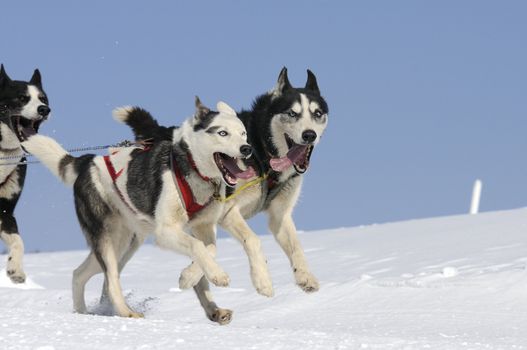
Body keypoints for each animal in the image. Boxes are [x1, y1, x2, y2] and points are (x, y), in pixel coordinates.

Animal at [21, 97, 256, 322]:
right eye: (223, 133)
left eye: (243, 133)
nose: (247, 149)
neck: (192, 168)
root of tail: (88, 162)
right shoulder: (166, 231)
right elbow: (198, 247)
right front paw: (216, 275)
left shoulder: (203, 226)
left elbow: (210, 249)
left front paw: (189, 276)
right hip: (107, 242)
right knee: (111, 279)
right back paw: (126, 312)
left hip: (124, 244)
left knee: (80, 274)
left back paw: (83, 312)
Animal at [117, 69, 328, 322]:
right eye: (292, 113)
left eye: (317, 114)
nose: (309, 135)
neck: (262, 151)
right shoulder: (228, 212)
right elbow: (253, 241)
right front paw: (263, 281)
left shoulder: (279, 215)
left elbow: (296, 246)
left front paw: (305, 276)